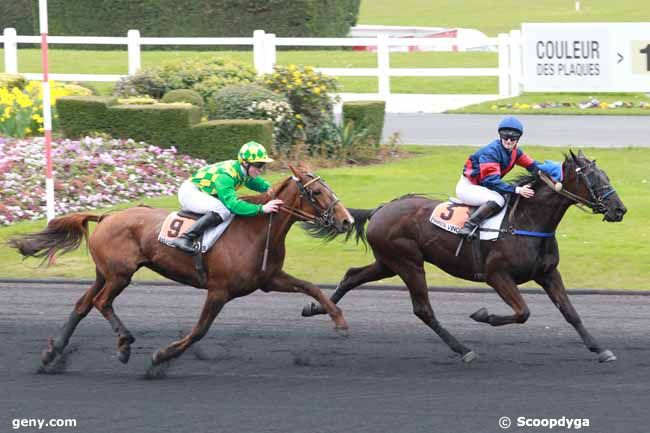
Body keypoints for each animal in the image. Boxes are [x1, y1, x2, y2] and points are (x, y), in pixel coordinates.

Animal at [8, 164, 354, 372]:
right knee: (101, 302)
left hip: (104, 272)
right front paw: (161, 356)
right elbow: (200, 330)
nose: (348, 220)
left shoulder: (269, 279)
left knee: (83, 304)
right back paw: (124, 344)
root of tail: (106, 216)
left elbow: (311, 287)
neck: (256, 229)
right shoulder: (219, 290)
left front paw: (338, 320)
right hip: (120, 275)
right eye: (317, 192)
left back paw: (52, 352)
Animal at [302, 150, 624, 362]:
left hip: (388, 262)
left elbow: (570, 312)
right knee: (423, 310)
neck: (526, 221)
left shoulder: (547, 273)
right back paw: (463, 350)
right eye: (592, 179)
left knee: (352, 275)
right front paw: (483, 314)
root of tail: (379, 210)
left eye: (606, 175)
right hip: (408, 264)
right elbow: (522, 312)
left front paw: (600, 349)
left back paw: (318, 308)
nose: (620, 209)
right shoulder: (497, 275)